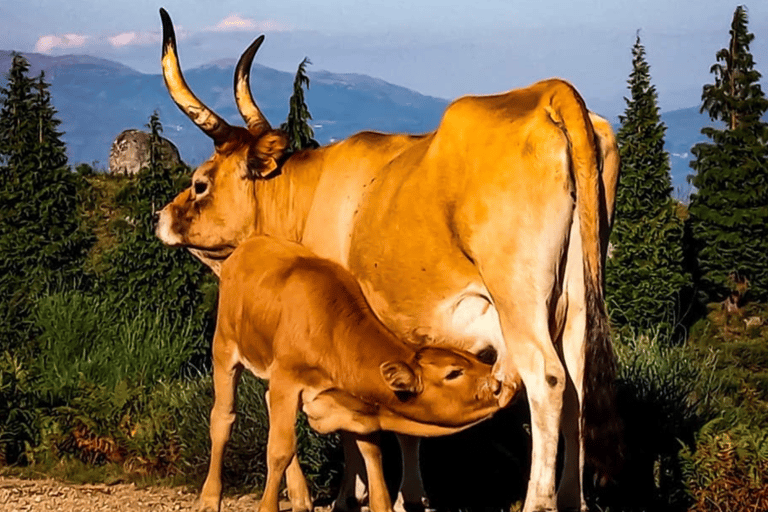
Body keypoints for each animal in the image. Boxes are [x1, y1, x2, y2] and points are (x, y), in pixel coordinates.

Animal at [201, 235, 520, 512]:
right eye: (453, 373)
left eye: (474, 359)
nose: (498, 383)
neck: (331, 328)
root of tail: (249, 244)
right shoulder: (287, 378)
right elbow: (280, 449)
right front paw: (267, 507)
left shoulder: (355, 403)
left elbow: (370, 450)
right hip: (225, 346)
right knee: (223, 418)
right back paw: (210, 497)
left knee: (267, 402)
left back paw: (301, 496)